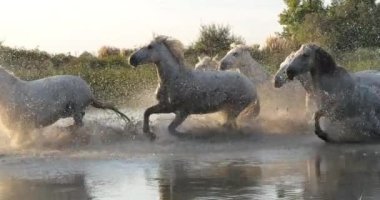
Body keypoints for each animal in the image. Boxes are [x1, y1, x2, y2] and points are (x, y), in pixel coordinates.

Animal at [0, 67, 131, 142]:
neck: (9, 93)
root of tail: (89, 92)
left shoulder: (21, 126)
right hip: (72, 110)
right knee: (78, 123)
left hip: (76, 108)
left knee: (79, 124)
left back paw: (64, 131)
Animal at [129, 35, 260, 139]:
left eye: (150, 46)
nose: (131, 59)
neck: (174, 78)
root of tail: (252, 86)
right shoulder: (165, 106)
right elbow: (147, 112)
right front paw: (149, 133)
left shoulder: (182, 112)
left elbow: (171, 129)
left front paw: (186, 134)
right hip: (228, 109)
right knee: (230, 125)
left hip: (236, 108)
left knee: (228, 125)